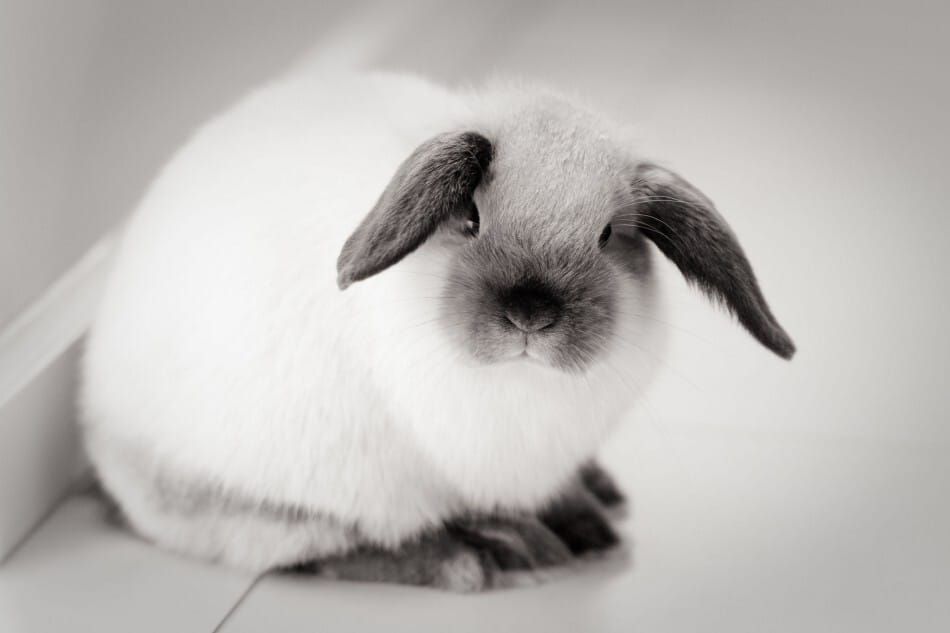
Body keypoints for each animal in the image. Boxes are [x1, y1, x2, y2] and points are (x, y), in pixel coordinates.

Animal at [80, 71, 796, 592]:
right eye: (470, 218)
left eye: (608, 236)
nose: (530, 312)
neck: (521, 383)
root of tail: (101, 443)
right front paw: (528, 537)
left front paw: (578, 514)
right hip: (273, 501)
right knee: (315, 549)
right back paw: (495, 554)